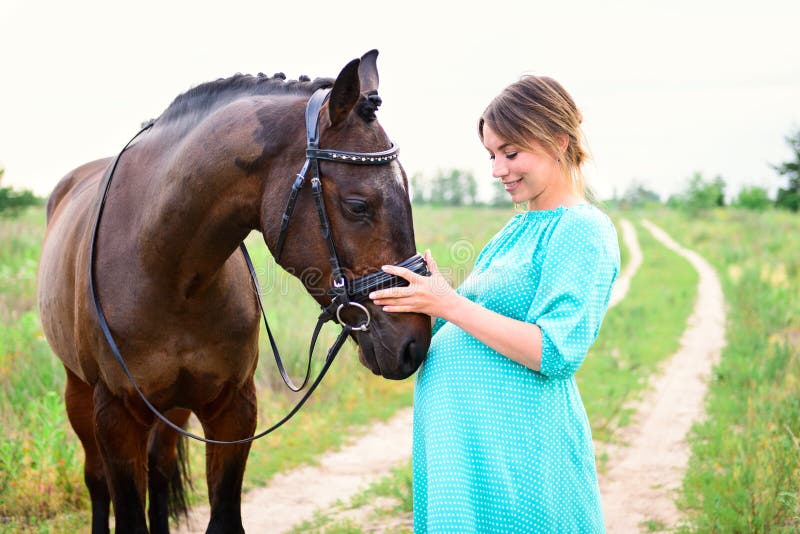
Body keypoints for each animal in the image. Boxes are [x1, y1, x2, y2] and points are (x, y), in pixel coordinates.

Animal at [36, 49, 431, 533]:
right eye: (358, 206)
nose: (414, 343)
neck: (169, 275)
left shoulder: (233, 409)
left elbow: (222, 514)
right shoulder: (115, 416)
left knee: (160, 472)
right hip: (79, 393)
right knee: (96, 482)